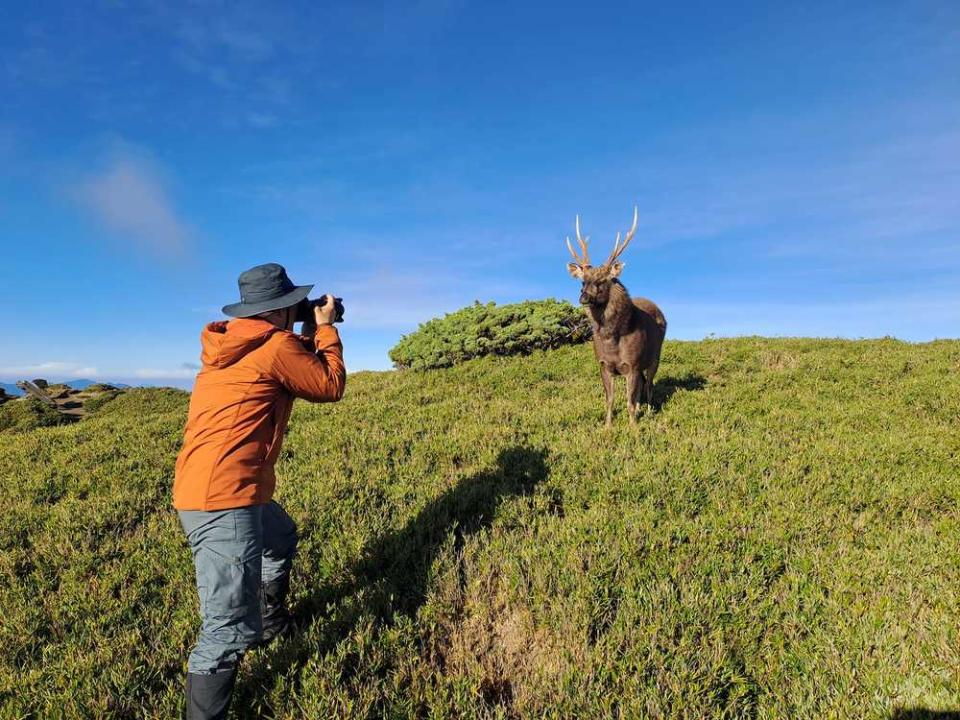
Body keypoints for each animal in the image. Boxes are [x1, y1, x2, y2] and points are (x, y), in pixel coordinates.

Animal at [564, 205, 668, 424]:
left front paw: (633, 427)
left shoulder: (633, 363)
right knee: (643, 385)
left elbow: (629, 401)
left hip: (655, 355)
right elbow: (610, 400)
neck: (612, 340)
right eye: (583, 281)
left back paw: (648, 411)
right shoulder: (603, 365)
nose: (583, 297)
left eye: (602, 280)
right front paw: (608, 426)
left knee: (649, 384)